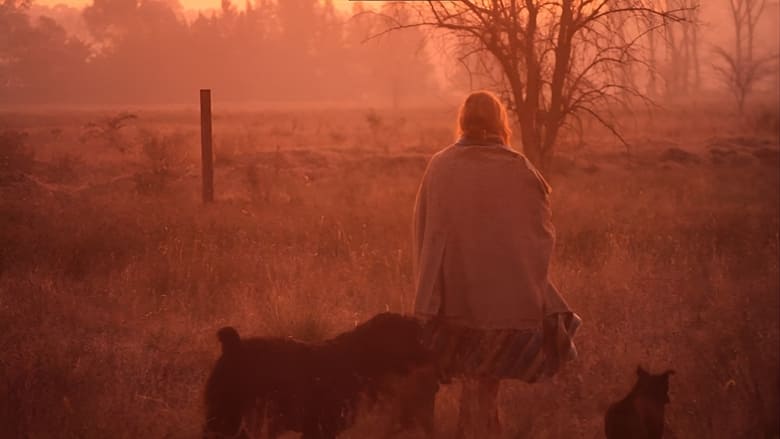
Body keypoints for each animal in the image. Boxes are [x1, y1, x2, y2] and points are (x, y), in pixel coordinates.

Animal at [203, 312, 438, 439]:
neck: (359, 357)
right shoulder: (321, 428)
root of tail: (234, 346)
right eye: (410, 336)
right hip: (227, 417)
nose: (431, 354)